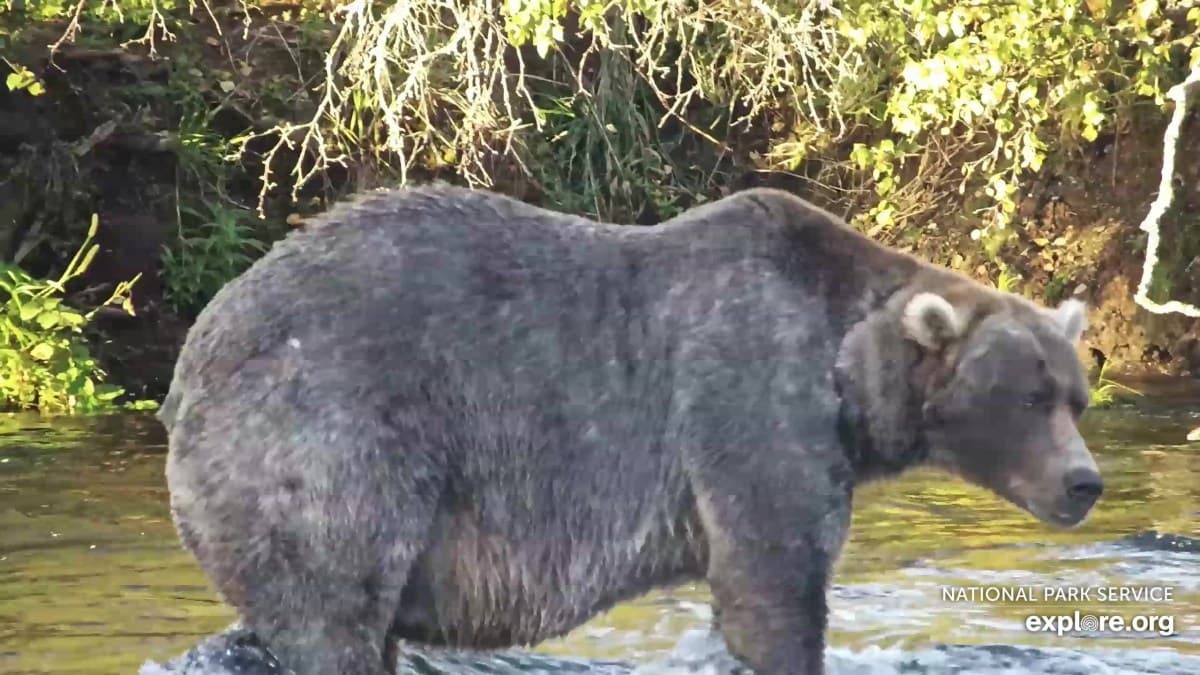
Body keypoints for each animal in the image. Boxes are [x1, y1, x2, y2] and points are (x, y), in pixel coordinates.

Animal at [158, 184, 1103, 675]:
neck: (851, 380)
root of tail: (193, 357)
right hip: (330, 432)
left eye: (1077, 393)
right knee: (334, 602)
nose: (1085, 481)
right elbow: (772, 578)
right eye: (1028, 396)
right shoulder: (750, 395)